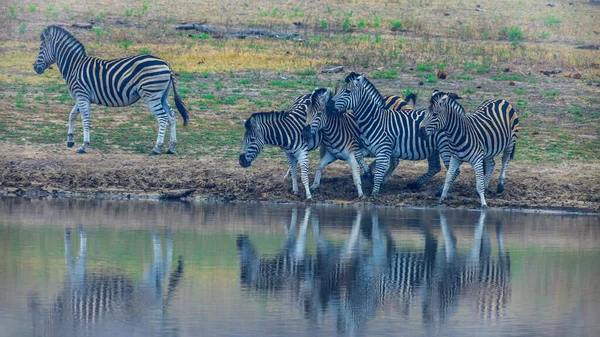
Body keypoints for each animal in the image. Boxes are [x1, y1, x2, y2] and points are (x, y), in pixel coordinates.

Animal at [32, 25, 188, 154]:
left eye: (41, 49)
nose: (35, 68)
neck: (74, 66)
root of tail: (166, 64)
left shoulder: (82, 95)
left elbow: (85, 119)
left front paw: (84, 145)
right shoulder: (81, 96)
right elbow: (72, 115)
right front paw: (70, 140)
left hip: (151, 95)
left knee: (162, 117)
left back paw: (157, 148)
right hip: (161, 95)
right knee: (172, 116)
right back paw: (171, 147)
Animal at [328, 72, 460, 196]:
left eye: (347, 91)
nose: (329, 105)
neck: (374, 119)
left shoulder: (383, 148)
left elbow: (380, 170)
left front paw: (374, 192)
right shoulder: (370, 147)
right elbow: (361, 157)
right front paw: (369, 174)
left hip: (445, 148)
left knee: (453, 171)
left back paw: (440, 192)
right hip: (433, 148)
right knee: (435, 167)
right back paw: (415, 184)